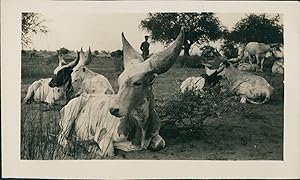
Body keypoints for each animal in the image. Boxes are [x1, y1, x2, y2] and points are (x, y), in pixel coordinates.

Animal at [55, 27, 184, 157]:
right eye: (119, 81)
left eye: (138, 83)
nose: (113, 110)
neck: (140, 125)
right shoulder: (102, 135)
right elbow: (108, 151)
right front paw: (89, 145)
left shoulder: (156, 136)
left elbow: (160, 143)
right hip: (70, 116)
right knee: (61, 137)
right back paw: (72, 145)